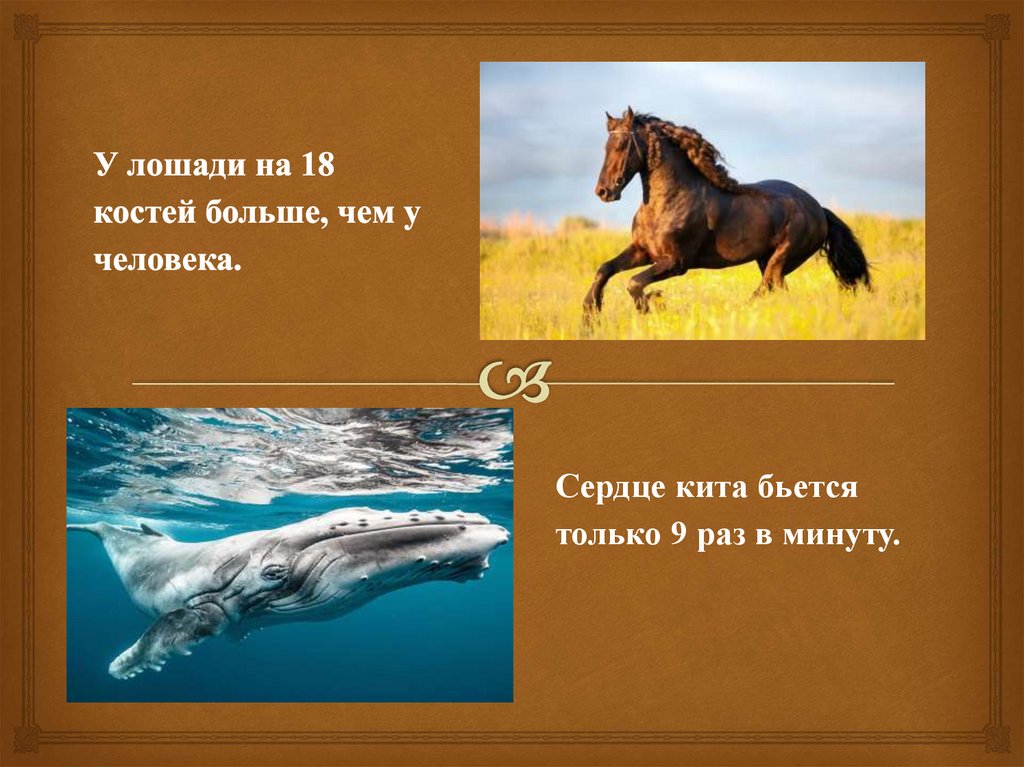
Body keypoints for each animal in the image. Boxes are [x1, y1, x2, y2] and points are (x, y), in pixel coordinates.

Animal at [584, 107, 871, 316]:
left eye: (622, 145)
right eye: (605, 147)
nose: (603, 192)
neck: (668, 202)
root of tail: (818, 209)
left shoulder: (677, 262)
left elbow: (634, 283)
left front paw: (654, 304)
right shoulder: (643, 251)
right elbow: (604, 269)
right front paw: (590, 315)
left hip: (782, 257)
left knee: (767, 286)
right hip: (767, 259)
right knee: (776, 289)